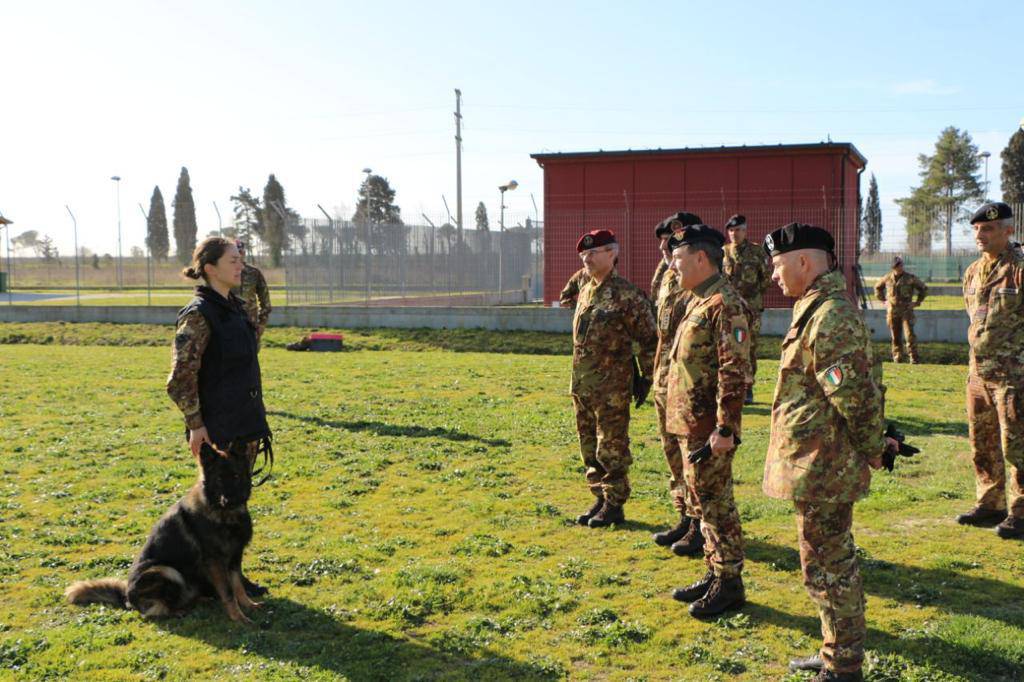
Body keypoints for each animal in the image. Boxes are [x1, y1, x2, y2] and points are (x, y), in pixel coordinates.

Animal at [66, 440, 262, 622]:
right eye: (219, 479)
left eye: (236, 475)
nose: (231, 500)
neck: (224, 514)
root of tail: (127, 599)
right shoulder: (215, 562)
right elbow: (228, 592)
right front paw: (239, 618)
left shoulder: (235, 557)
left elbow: (237, 585)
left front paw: (248, 605)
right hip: (166, 571)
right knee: (158, 610)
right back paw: (178, 611)